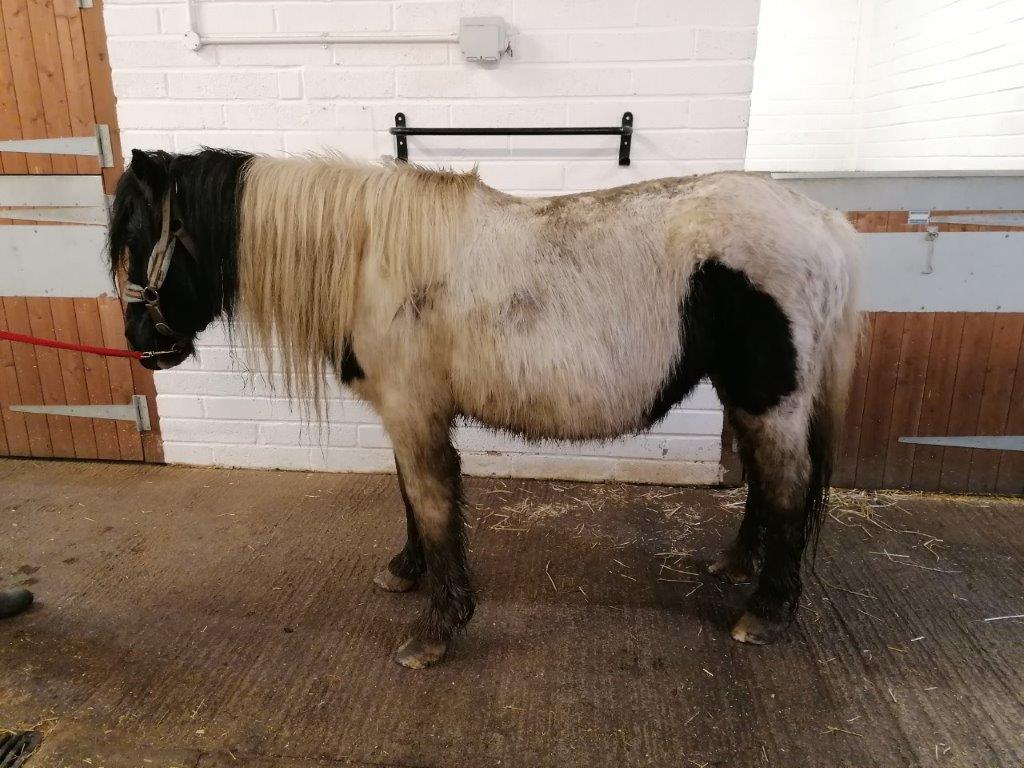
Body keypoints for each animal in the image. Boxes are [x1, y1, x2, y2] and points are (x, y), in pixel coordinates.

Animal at [109, 148, 860, 669]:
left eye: (138, 240)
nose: (143, 346)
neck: (368, 259)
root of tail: (825, 224)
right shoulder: (406, 412)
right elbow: (410, 498)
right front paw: (405, 572)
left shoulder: (415, 412)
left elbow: (435, 503)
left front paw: (437, 631)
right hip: (750, 395)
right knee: (763, 478)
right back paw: (736, 566)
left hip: (772, 397)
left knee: (787, 487)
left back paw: (766, 610)